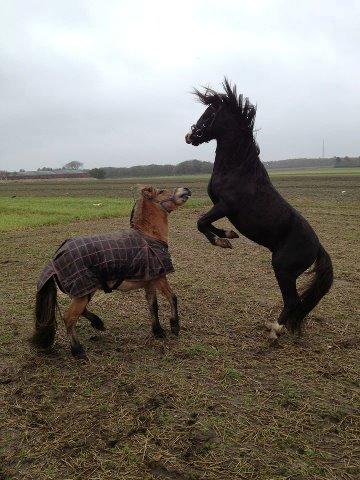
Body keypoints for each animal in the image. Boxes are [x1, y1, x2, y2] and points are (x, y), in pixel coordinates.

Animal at [31, 186, 191, 358]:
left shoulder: (149, 282)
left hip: (86, 290)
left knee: (79, 312)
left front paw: (158, 331)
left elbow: (153, 306)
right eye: (161, 191)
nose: (185, 189)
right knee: (69, 318)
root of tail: (55, 258)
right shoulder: (160, 278)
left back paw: (98, 323)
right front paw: (174, 326)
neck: (149, 236)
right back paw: (78, 351)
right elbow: (172, 298)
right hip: (83, 292)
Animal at [187, 79, 334, 338]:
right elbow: (207, 223)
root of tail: (317, 247)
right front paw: (229, 236)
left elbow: (201, 222)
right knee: (296, 305)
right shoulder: (219, 206)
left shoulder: (225, 206)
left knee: (293, 302)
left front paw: (222, 241)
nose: (190, 135)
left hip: (283, 269)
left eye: (209, 114)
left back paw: (274, 330)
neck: (238, 169)